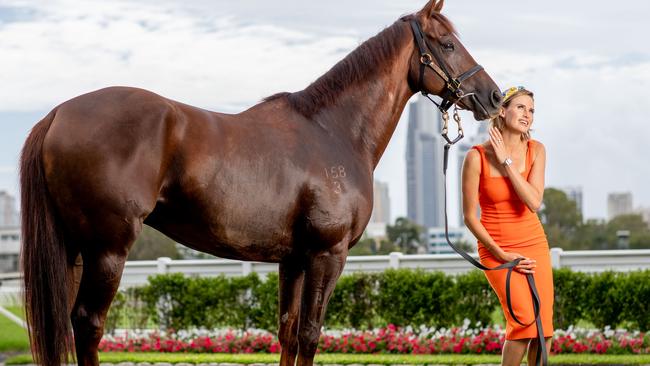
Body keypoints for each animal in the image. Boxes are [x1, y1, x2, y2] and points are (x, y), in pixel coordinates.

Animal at [19, 1, 496, 364]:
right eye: (448, 43)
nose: (492, 97)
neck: (332, 131)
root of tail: (58, 113)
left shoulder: (295, 259)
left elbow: (287, 332)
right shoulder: (327, 254)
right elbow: (310, 334)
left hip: (74, 249)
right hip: (108, 250)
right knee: (87, 325)